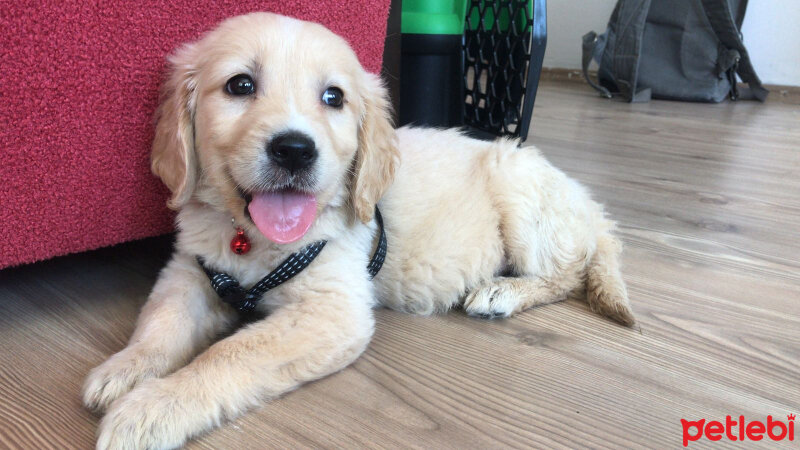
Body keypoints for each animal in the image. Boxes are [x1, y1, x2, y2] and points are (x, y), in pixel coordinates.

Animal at [79, 11, 632, 450]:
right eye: (240, 85)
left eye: (334, 97)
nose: (295, 150)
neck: (251, 238)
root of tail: (591, 209)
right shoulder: (192, 272)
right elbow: (160, 323)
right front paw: (124, 369)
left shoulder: (333, 310)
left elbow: (228, 354)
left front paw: (151, 408)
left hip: (519, 188)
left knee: (567, 275)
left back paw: (502, 291)